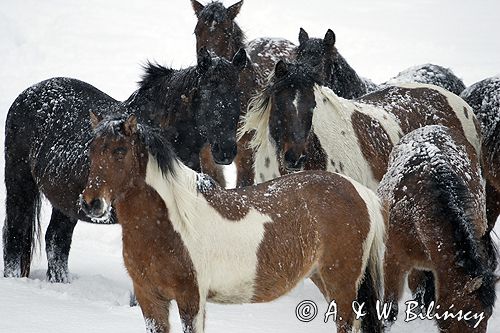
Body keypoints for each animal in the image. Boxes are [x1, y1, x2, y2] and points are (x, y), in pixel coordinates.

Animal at [3, 46, 246, 280]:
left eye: (238, 94)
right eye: (207, 93)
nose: (226, 151)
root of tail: (26, 94)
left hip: (66, 201)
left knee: (56, 240)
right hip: (19, 186)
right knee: (15, 235)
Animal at [82, 113, 386, 332]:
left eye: (120, 151)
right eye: (91, 150)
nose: (91, 203)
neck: (170, 225)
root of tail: (361, 193)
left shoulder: (191, 300)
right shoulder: (150, 299)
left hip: (342, 282)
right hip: (323, 277)